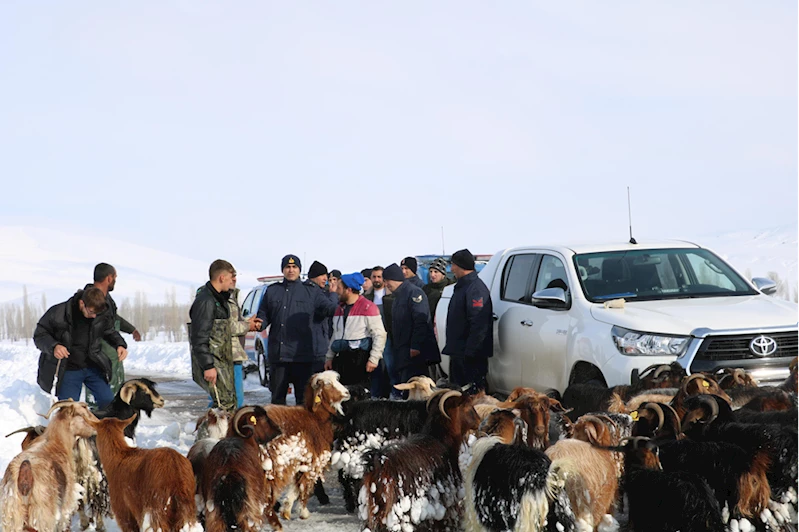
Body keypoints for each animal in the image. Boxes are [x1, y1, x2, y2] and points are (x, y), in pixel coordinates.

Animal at [0, 400, 98, 532]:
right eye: (83, 411)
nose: (98, 424)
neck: (57, 442)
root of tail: (22, 478)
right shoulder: (65, 506)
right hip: (42, 517)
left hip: (12, 519)